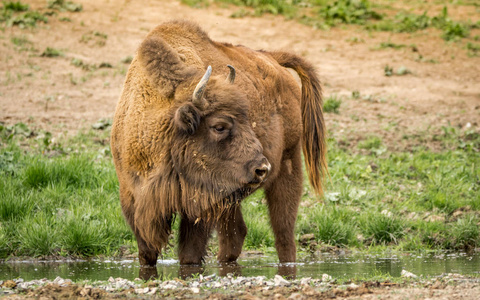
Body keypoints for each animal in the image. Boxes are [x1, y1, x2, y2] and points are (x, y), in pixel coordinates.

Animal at [109, 19, 326, 268]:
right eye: (219, 126)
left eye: (247, 119)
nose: (261, 169)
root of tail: (271, 58)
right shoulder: (133, 199)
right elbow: (147, 254)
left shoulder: (200, 206)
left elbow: (190, 254)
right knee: (237, 234)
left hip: (289, 165)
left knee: (283, 232)